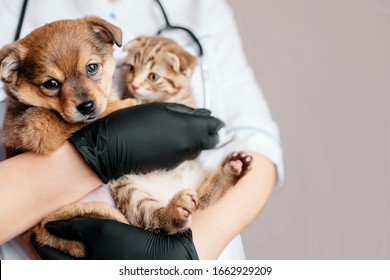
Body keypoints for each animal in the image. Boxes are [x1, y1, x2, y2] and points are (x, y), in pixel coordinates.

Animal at [0, 17, 137, 258]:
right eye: (51, 83)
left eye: (92, 67)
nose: (87, 106)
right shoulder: (40, 126)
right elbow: (93, 115)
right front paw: (129, 103)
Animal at [109, 36, 253, 235]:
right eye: (131, 68)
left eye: (153, 76)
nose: (134, 85)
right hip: (129, 188)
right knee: (155, 217)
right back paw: (175, 211)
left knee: (204, 200)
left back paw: (233, 167)